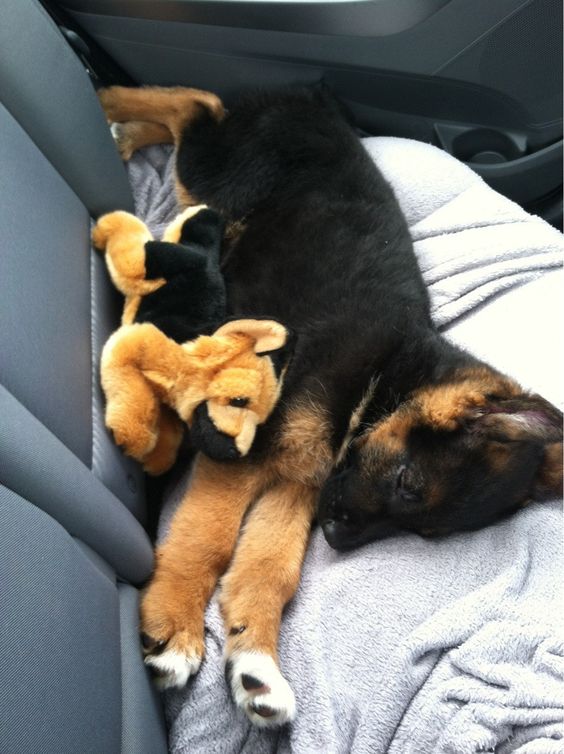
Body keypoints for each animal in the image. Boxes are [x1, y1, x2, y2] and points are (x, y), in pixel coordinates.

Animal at [99, 83, 560, 724]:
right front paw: (175, 631)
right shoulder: (251, 450)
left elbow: (269, 572)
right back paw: (112, 104)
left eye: (424, 531)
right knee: (194, 104)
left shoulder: (301, 479)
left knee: (197, 114)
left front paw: (255, 663)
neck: (382, 377)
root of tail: (308, 98)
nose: (337, 540)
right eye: (407, 484)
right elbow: (208, 543)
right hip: (216, 170)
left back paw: (127, 132)